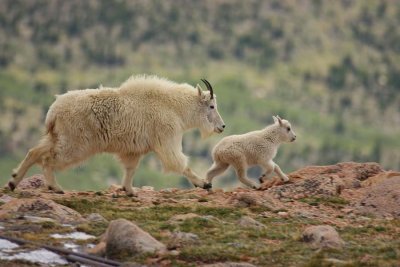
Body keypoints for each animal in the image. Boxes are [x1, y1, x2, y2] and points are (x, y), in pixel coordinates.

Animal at [8, 74, 225, 196]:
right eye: (211, 106)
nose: (222, 126)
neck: (175, 107)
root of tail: (53, 111)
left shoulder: (134, 149)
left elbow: (130, 169)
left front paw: (130, 191)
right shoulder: (166, 136)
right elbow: (178, 163)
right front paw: (204, 183)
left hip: (58, 135)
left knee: (35, 151)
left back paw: (13, 181)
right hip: (76, 142)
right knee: (48, 159)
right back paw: (55, 187)